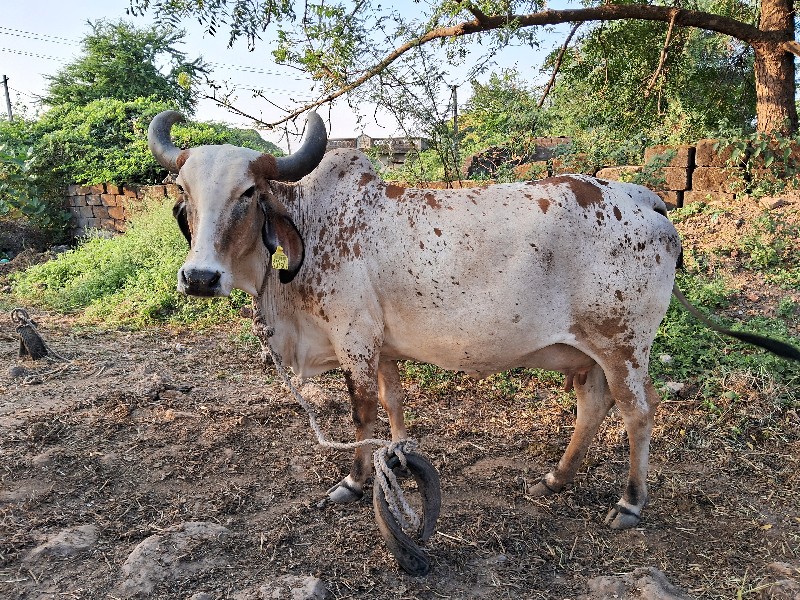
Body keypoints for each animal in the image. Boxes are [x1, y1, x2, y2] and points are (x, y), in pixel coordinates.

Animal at [148, 110, 800, 548]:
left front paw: (354, 483)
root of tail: (646, 197)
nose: (199, 277)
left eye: (248, 193)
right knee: (593, 406)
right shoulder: (383, 348)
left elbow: (361, 414)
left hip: (623, 345)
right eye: (183, 193)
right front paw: (400, 459)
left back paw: (630, 504)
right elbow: (393, 403)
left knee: (638, 411)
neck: (312, 225)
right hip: (587, 351)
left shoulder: (354, 339)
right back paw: (555, 479)